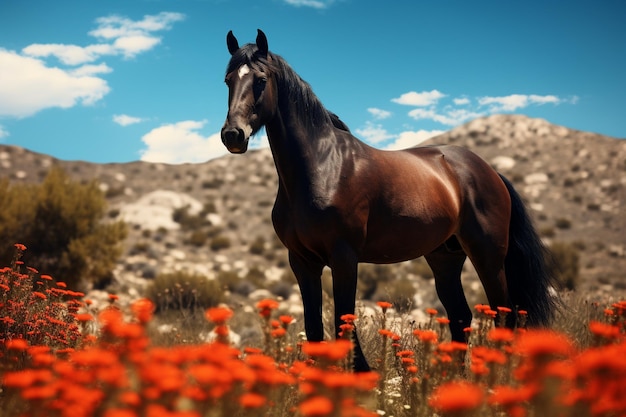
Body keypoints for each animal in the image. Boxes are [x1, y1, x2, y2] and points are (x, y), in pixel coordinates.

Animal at [221, 30, 556, 370]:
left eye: (261, 80)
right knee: (461, 317)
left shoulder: (344, 258)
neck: (322, 167)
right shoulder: (302, 262)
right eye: (228, 80)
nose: (233, 135)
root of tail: (489, 171)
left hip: (488, 256)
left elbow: (343, 323)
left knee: (505, 317)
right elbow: (314, 328)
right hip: (445, 259)